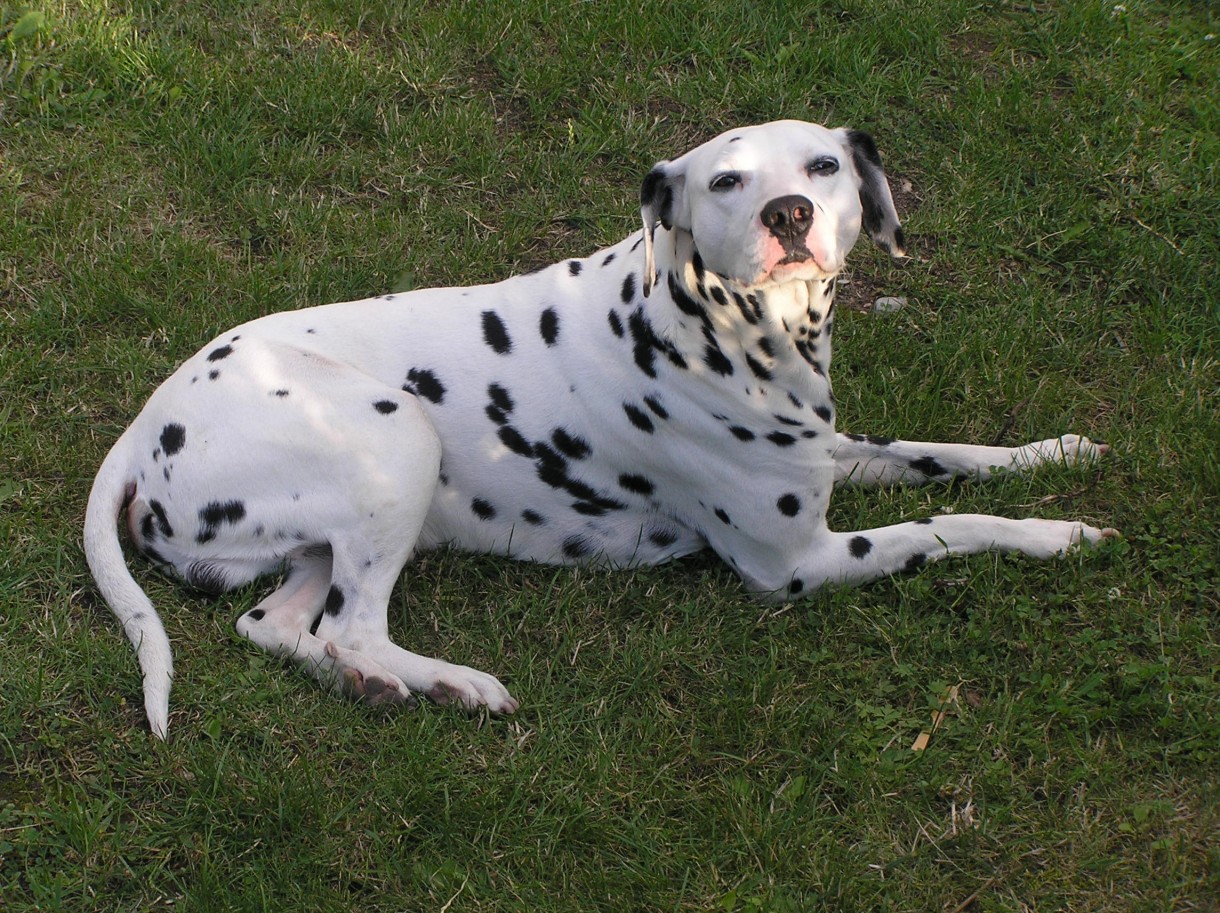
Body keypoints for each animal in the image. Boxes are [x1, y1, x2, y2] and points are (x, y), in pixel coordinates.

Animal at [83, 121, 1117, 737]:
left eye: (823, 166)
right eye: (727, 180)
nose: (790, 213)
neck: (720, 324)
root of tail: (145, 422)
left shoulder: (836, 456)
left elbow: (948, 458)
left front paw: (1054, 452)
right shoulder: (797, 562)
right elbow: (944, 527)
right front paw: (1056, 532)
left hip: (317, 538)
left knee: (282, 627)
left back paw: (380, 685)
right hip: (399, 438)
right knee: (352, 628)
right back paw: (449, 681)